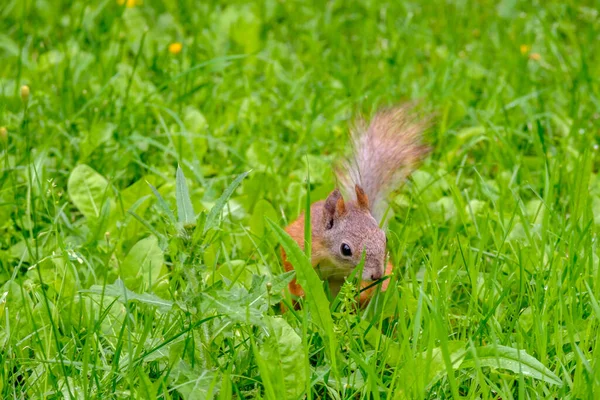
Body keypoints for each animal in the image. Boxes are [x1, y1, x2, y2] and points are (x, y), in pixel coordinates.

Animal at [282, 103, 432, 306]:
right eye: (345, 249)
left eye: (385, 239)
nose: (377, 275)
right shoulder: (299, 246)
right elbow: (295, 274)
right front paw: (303, 293)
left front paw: (360, 295)